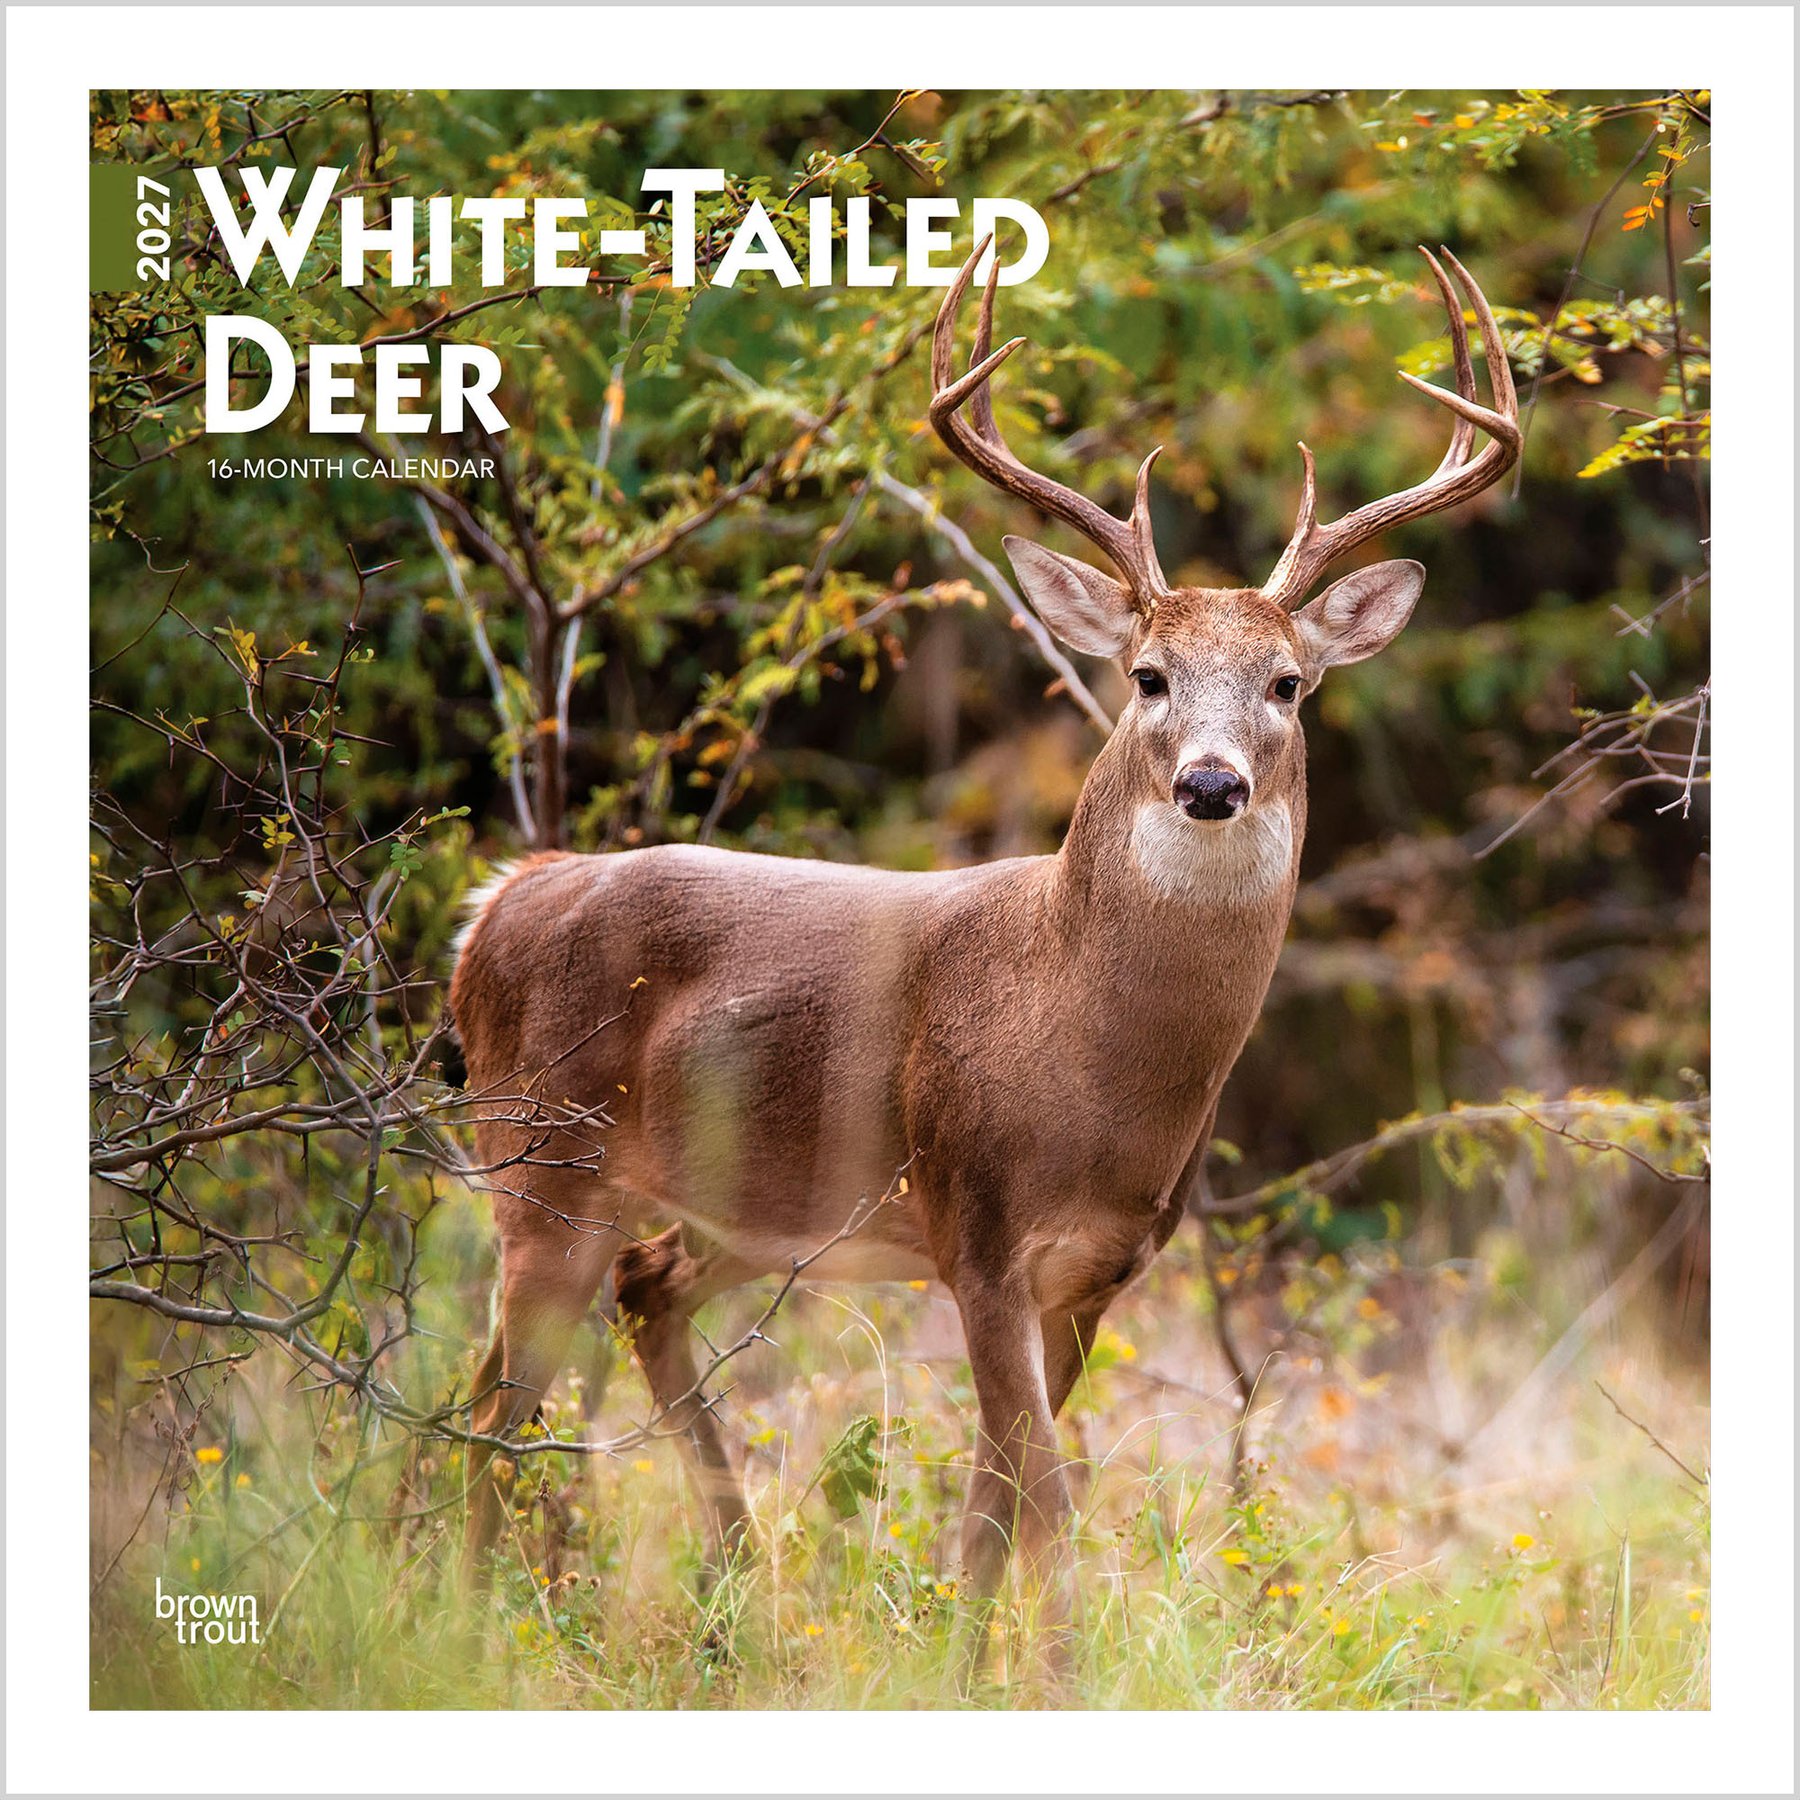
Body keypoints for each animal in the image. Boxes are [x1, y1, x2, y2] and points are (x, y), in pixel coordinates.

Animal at [449, 241, 1519, 1637]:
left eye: (1289, 683)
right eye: (1148, 675)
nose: (1213, 783)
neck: (1076, 1036)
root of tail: (498, 903)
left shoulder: (1098, 1268)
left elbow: (993, 1510)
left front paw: (962, 1658)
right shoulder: (978, 1227)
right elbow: (1046, 1504)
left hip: (731, 1209)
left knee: (633, 1299)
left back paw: (729, 1590)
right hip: (539, 1165)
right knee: (491, 1407)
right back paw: (462, 1619)